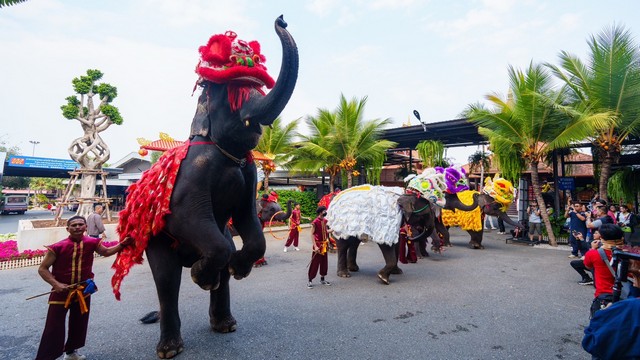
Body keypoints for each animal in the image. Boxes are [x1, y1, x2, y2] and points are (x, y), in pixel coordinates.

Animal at [112, 16, 298, 358]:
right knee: (167, 281)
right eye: (236, 92)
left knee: (219, 255)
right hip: (157, 241)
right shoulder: (191, 177)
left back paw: (225, 322)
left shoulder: (249, 174)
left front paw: (239, 269)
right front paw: (200, 276)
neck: (225, 151)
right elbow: (184, 216)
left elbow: (247, 221)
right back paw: (170, 346)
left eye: (255, 87)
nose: (281, 19)